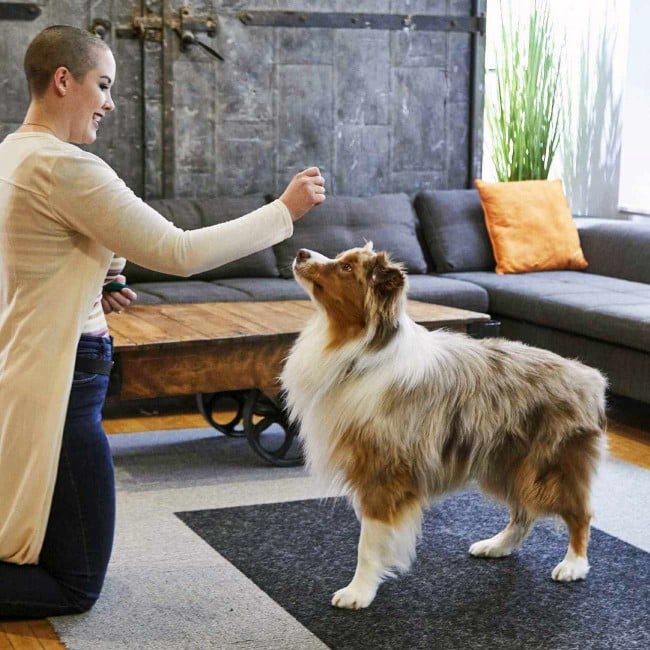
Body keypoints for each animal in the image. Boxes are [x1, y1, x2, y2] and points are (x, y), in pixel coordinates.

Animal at [280, 242, 608, 608]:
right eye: (341, 258)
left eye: (347, 268)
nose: (300, 252)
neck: (363, 350)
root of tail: (590, 377)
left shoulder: (384, 471)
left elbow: (368, 542)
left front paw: (358, 592)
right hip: (506, 464)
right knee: (524, 513)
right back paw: (497, 546)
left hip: (549, 466)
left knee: (580, 513)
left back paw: (573, 565)